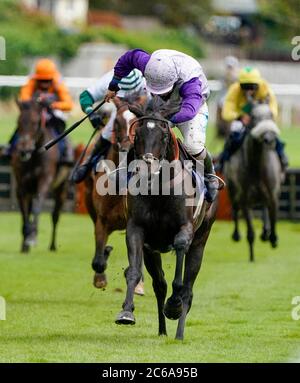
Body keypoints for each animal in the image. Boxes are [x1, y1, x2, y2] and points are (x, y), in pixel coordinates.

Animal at [11, 100, 70, 254]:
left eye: (35, 122)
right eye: (18, 122)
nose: (23, 150)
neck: (34, 155)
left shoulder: (45, 181)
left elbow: (38, 206)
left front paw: (32, 236)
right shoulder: (22, 187)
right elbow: (25, 212)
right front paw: (25, 241)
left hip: (62, 189)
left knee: (55, 215)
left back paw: (52, 246)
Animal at [113, 106, 219, 342]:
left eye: (163, 135)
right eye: (137, 135)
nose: (147, 165)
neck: (159, 190)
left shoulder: (186, 230)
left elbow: (179, 271)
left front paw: (173, 306)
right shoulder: (137, 230)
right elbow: (134, 271)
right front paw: (126, 312)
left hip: (201, 240)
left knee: (188, 290)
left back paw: (179, 332)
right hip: (152, 251)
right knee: (159, 285)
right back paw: (162, 331)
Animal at [224, 102, 282, 262]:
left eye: (271, 115)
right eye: (254, 117)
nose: (269, 139)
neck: (256, 164)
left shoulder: (273, 194)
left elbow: (273, 215)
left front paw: (273, 238)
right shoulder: (245, 200)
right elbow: (250, 233)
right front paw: (251, 257)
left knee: (263, 207)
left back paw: (265, 232)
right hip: (231, 188)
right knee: (234, 207)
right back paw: (236, 235)